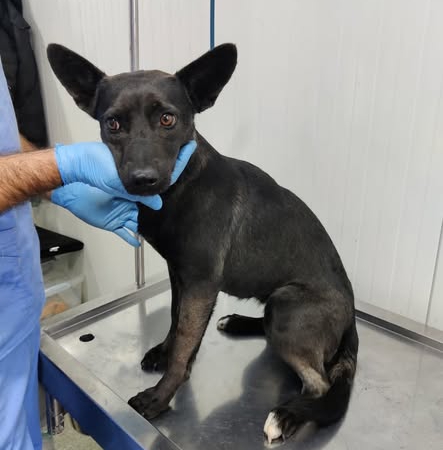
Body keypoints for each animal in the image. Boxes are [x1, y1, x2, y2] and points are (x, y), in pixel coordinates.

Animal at [47, 43, 359, 443]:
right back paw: (237, 322)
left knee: (319, 384)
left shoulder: (200, 284)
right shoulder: (180, 275)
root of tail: (351, 316)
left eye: (168, 120)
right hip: (274, 305)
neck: (181, 187)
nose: (142, 180)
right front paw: (164, 353)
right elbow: (177, 323)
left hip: (287, 306)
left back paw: (288, 415)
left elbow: (184, 345)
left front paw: (160, 397)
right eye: (112, 124)